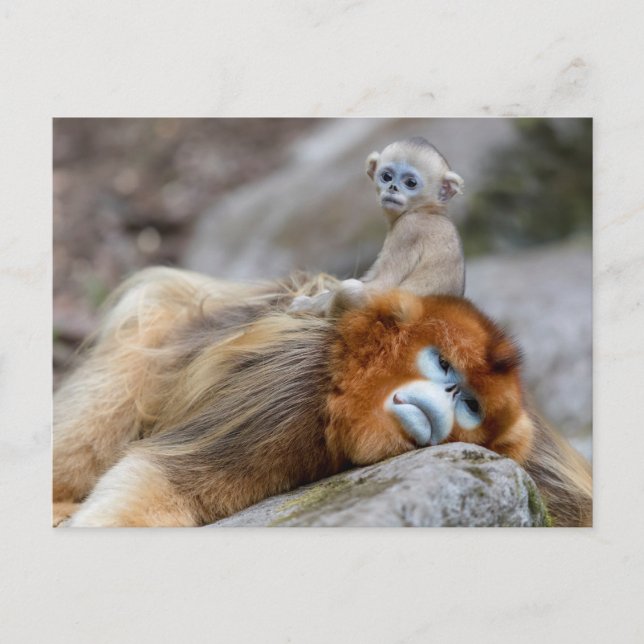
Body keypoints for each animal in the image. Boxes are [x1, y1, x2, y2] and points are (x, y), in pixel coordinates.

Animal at [53, 267, 591, 527]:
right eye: (442, 365)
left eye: (472, 405)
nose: (446, 397)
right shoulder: (294, 387)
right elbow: (163, 480)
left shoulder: (534, 467)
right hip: (160, 323)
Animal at [289, 137, 465, 316]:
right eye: (387, 176)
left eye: (411, 182)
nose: (392, 188)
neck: (428, 210)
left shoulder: (408, 229)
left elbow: (382, 286)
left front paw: (309, 305)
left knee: (350, 289)